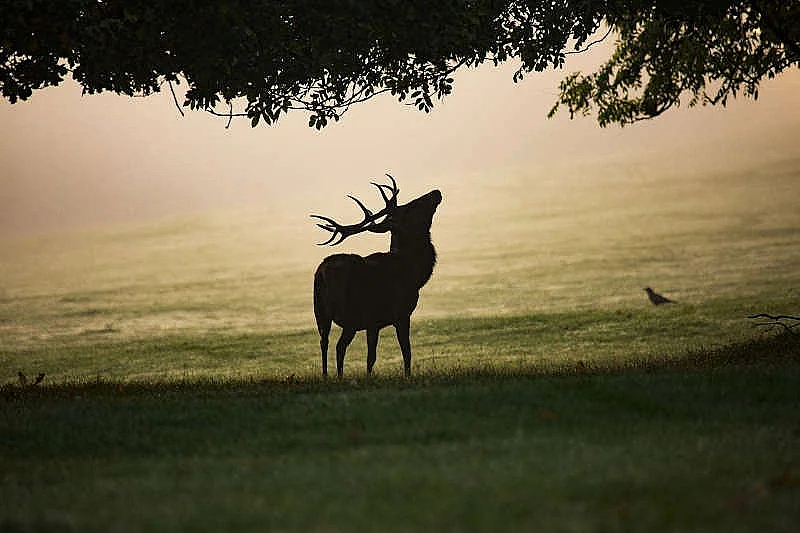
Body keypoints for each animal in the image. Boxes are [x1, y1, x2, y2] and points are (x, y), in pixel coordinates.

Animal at [311, 174, 442, 377]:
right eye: (410, 207)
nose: (436, 192)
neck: (414, 274)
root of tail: (321, 274)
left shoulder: (375, 322)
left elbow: (372, 357)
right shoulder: (396, 314)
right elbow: (404, 352)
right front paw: (406, 376)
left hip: (322, 311)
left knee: (329, 344)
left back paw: (330, 376)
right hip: (350, 312)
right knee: (336, 345)